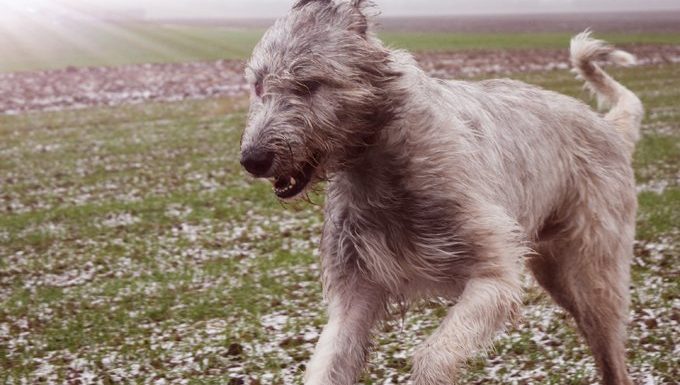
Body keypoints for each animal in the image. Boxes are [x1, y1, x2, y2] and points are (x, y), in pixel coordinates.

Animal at [238, 1, 644, 382]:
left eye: (309, 84)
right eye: (258, 84)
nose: (252, 159)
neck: (381, 165)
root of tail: (608, 127)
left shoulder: (493, 278)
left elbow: (434, 356)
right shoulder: (355, 292)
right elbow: (330, 360)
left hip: (594, 274)